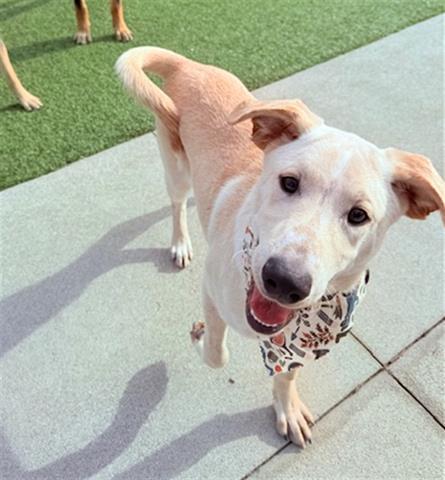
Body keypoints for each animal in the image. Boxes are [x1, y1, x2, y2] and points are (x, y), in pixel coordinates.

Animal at [116, 47, 444, 448]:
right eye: (288, 182)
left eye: (359, 215)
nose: (285, 281)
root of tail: (189, 66)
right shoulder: (211, 291)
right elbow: (216, 354)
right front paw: (200, 336)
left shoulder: (297, 348)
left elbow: (286, 374)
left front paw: (287, 407)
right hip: (174, 162)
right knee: (177, 203)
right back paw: (180, 242)